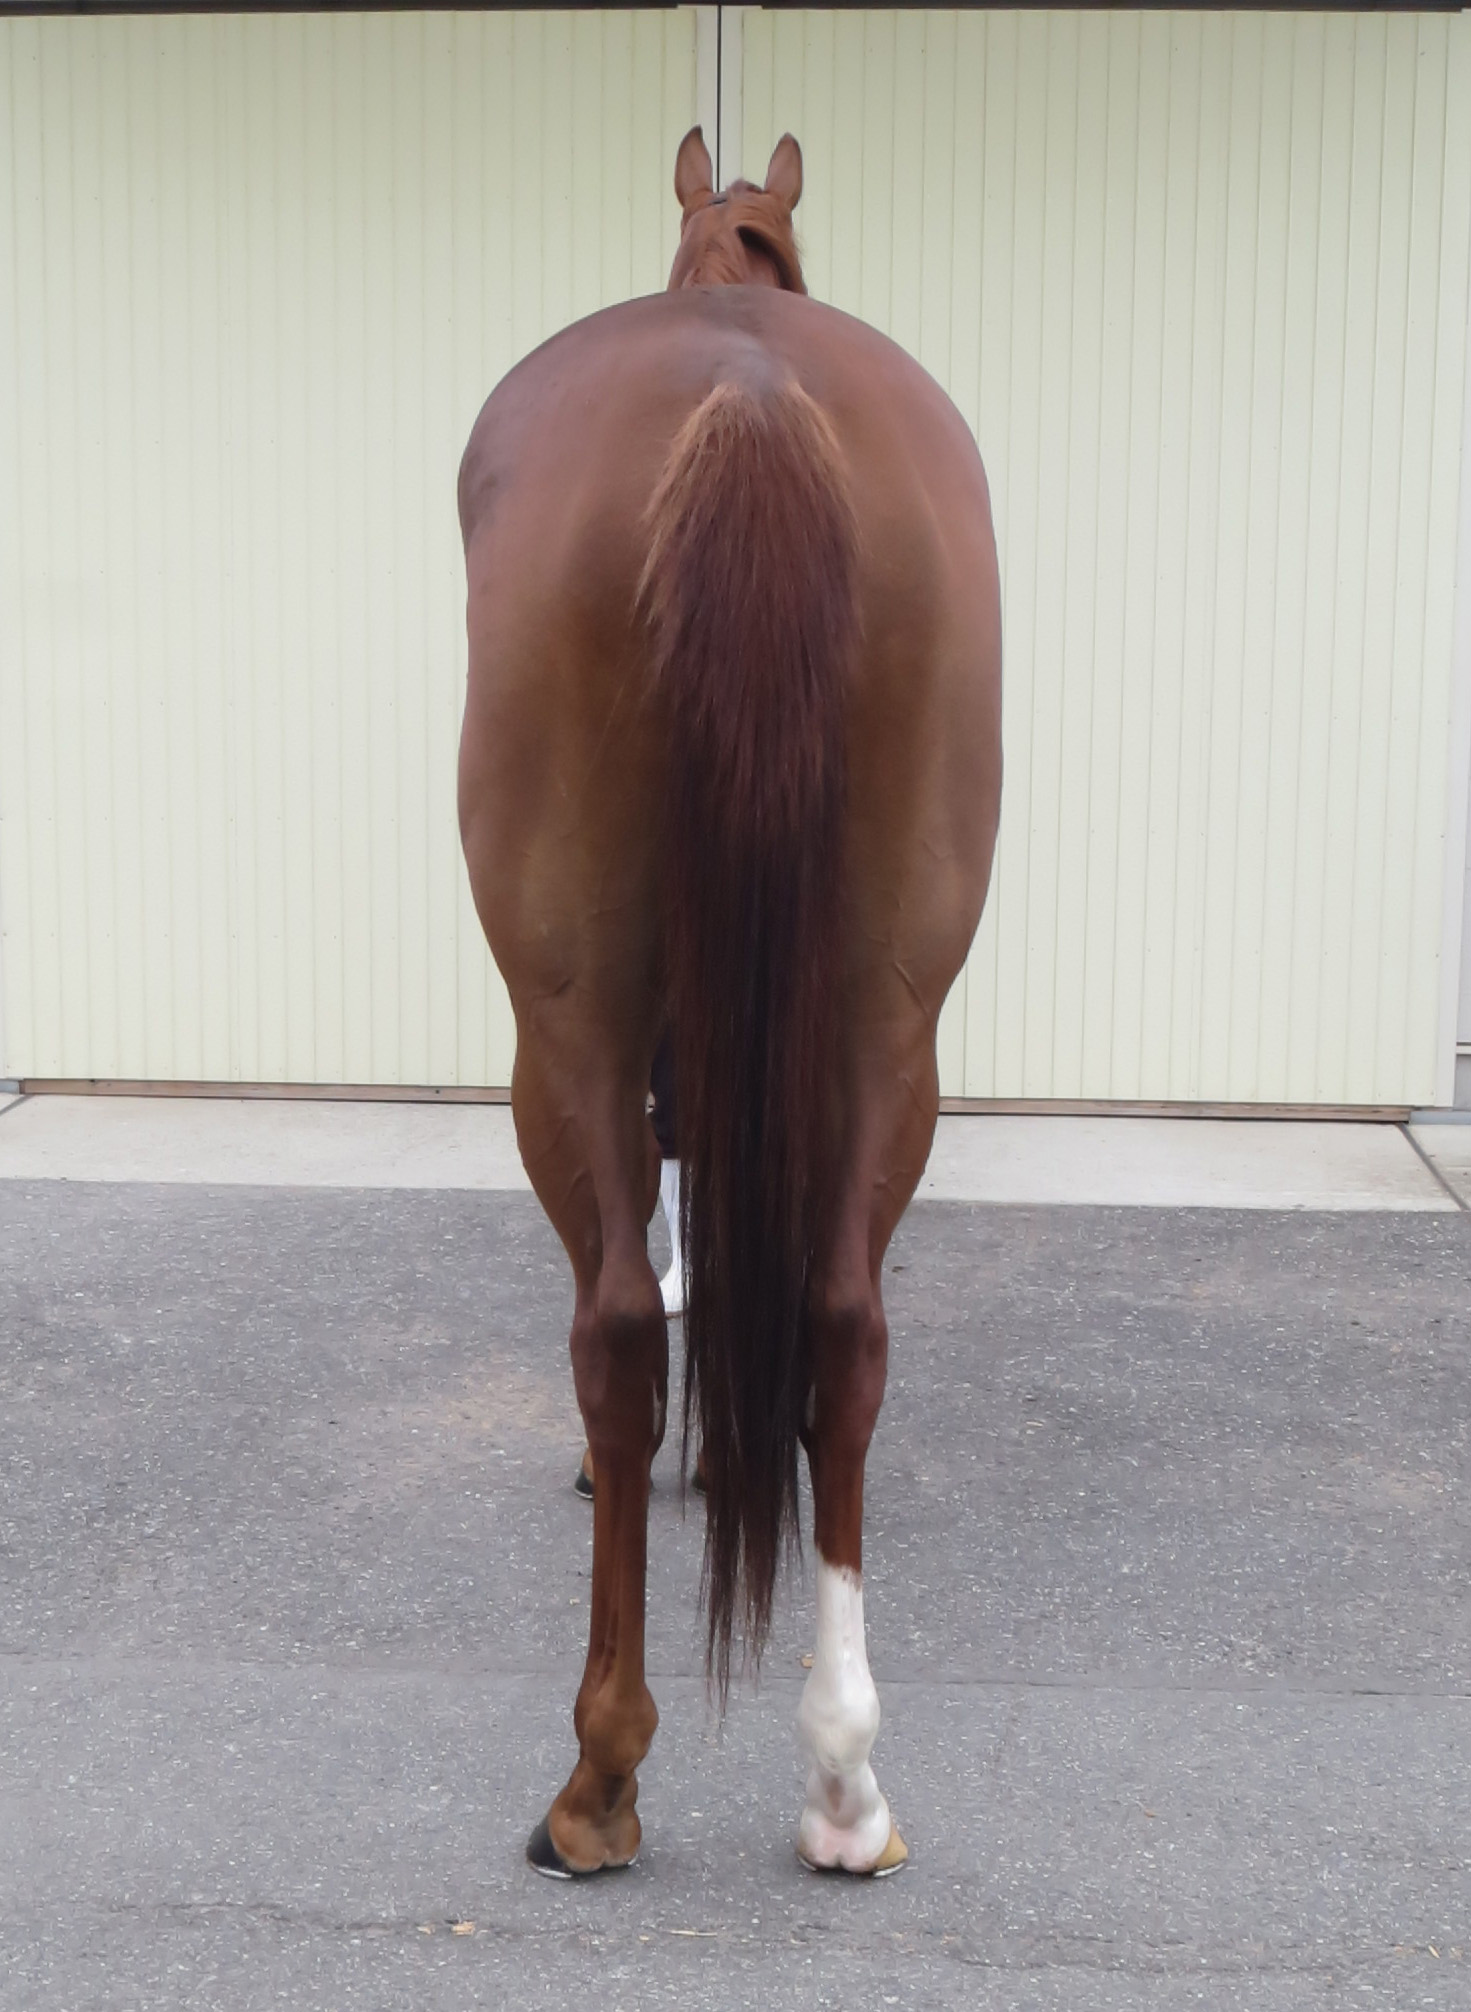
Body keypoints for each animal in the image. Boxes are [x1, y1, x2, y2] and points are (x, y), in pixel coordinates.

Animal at [457, 126, 1002, 1879]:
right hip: (889, 1019)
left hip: (558, 1021)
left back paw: (597, 1783)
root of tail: (749, 401)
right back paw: (843, 1786)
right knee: (842, 1326)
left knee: (617, 1328)